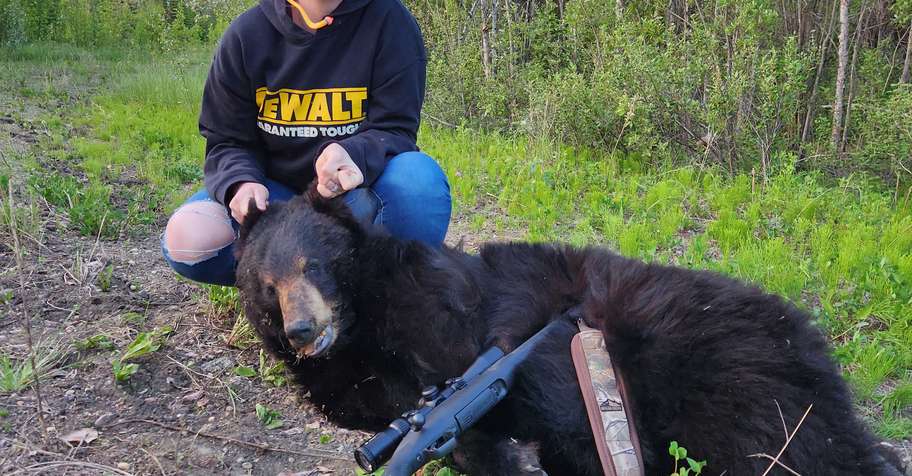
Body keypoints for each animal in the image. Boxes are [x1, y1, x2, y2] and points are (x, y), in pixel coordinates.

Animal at [234, 188, 902, 476]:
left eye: (312, 265)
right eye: (267, 281)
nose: (301, 329)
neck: (362, 319)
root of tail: (805, 337)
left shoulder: (448, 315)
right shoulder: (354, 375)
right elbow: (370, 403)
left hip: (722, 370)